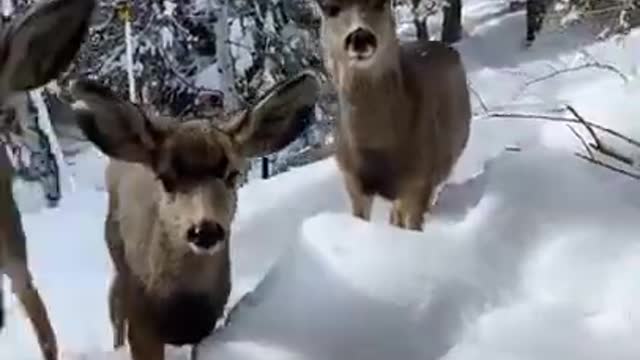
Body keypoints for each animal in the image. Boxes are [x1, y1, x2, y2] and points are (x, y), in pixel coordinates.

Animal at [67, 69, 320, 358]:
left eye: (232, 174)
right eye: (165, 179)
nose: (205, 230)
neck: (181, 308)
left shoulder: (208, 323)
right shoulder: (142, 326)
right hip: (115, 251)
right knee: (114, 304)